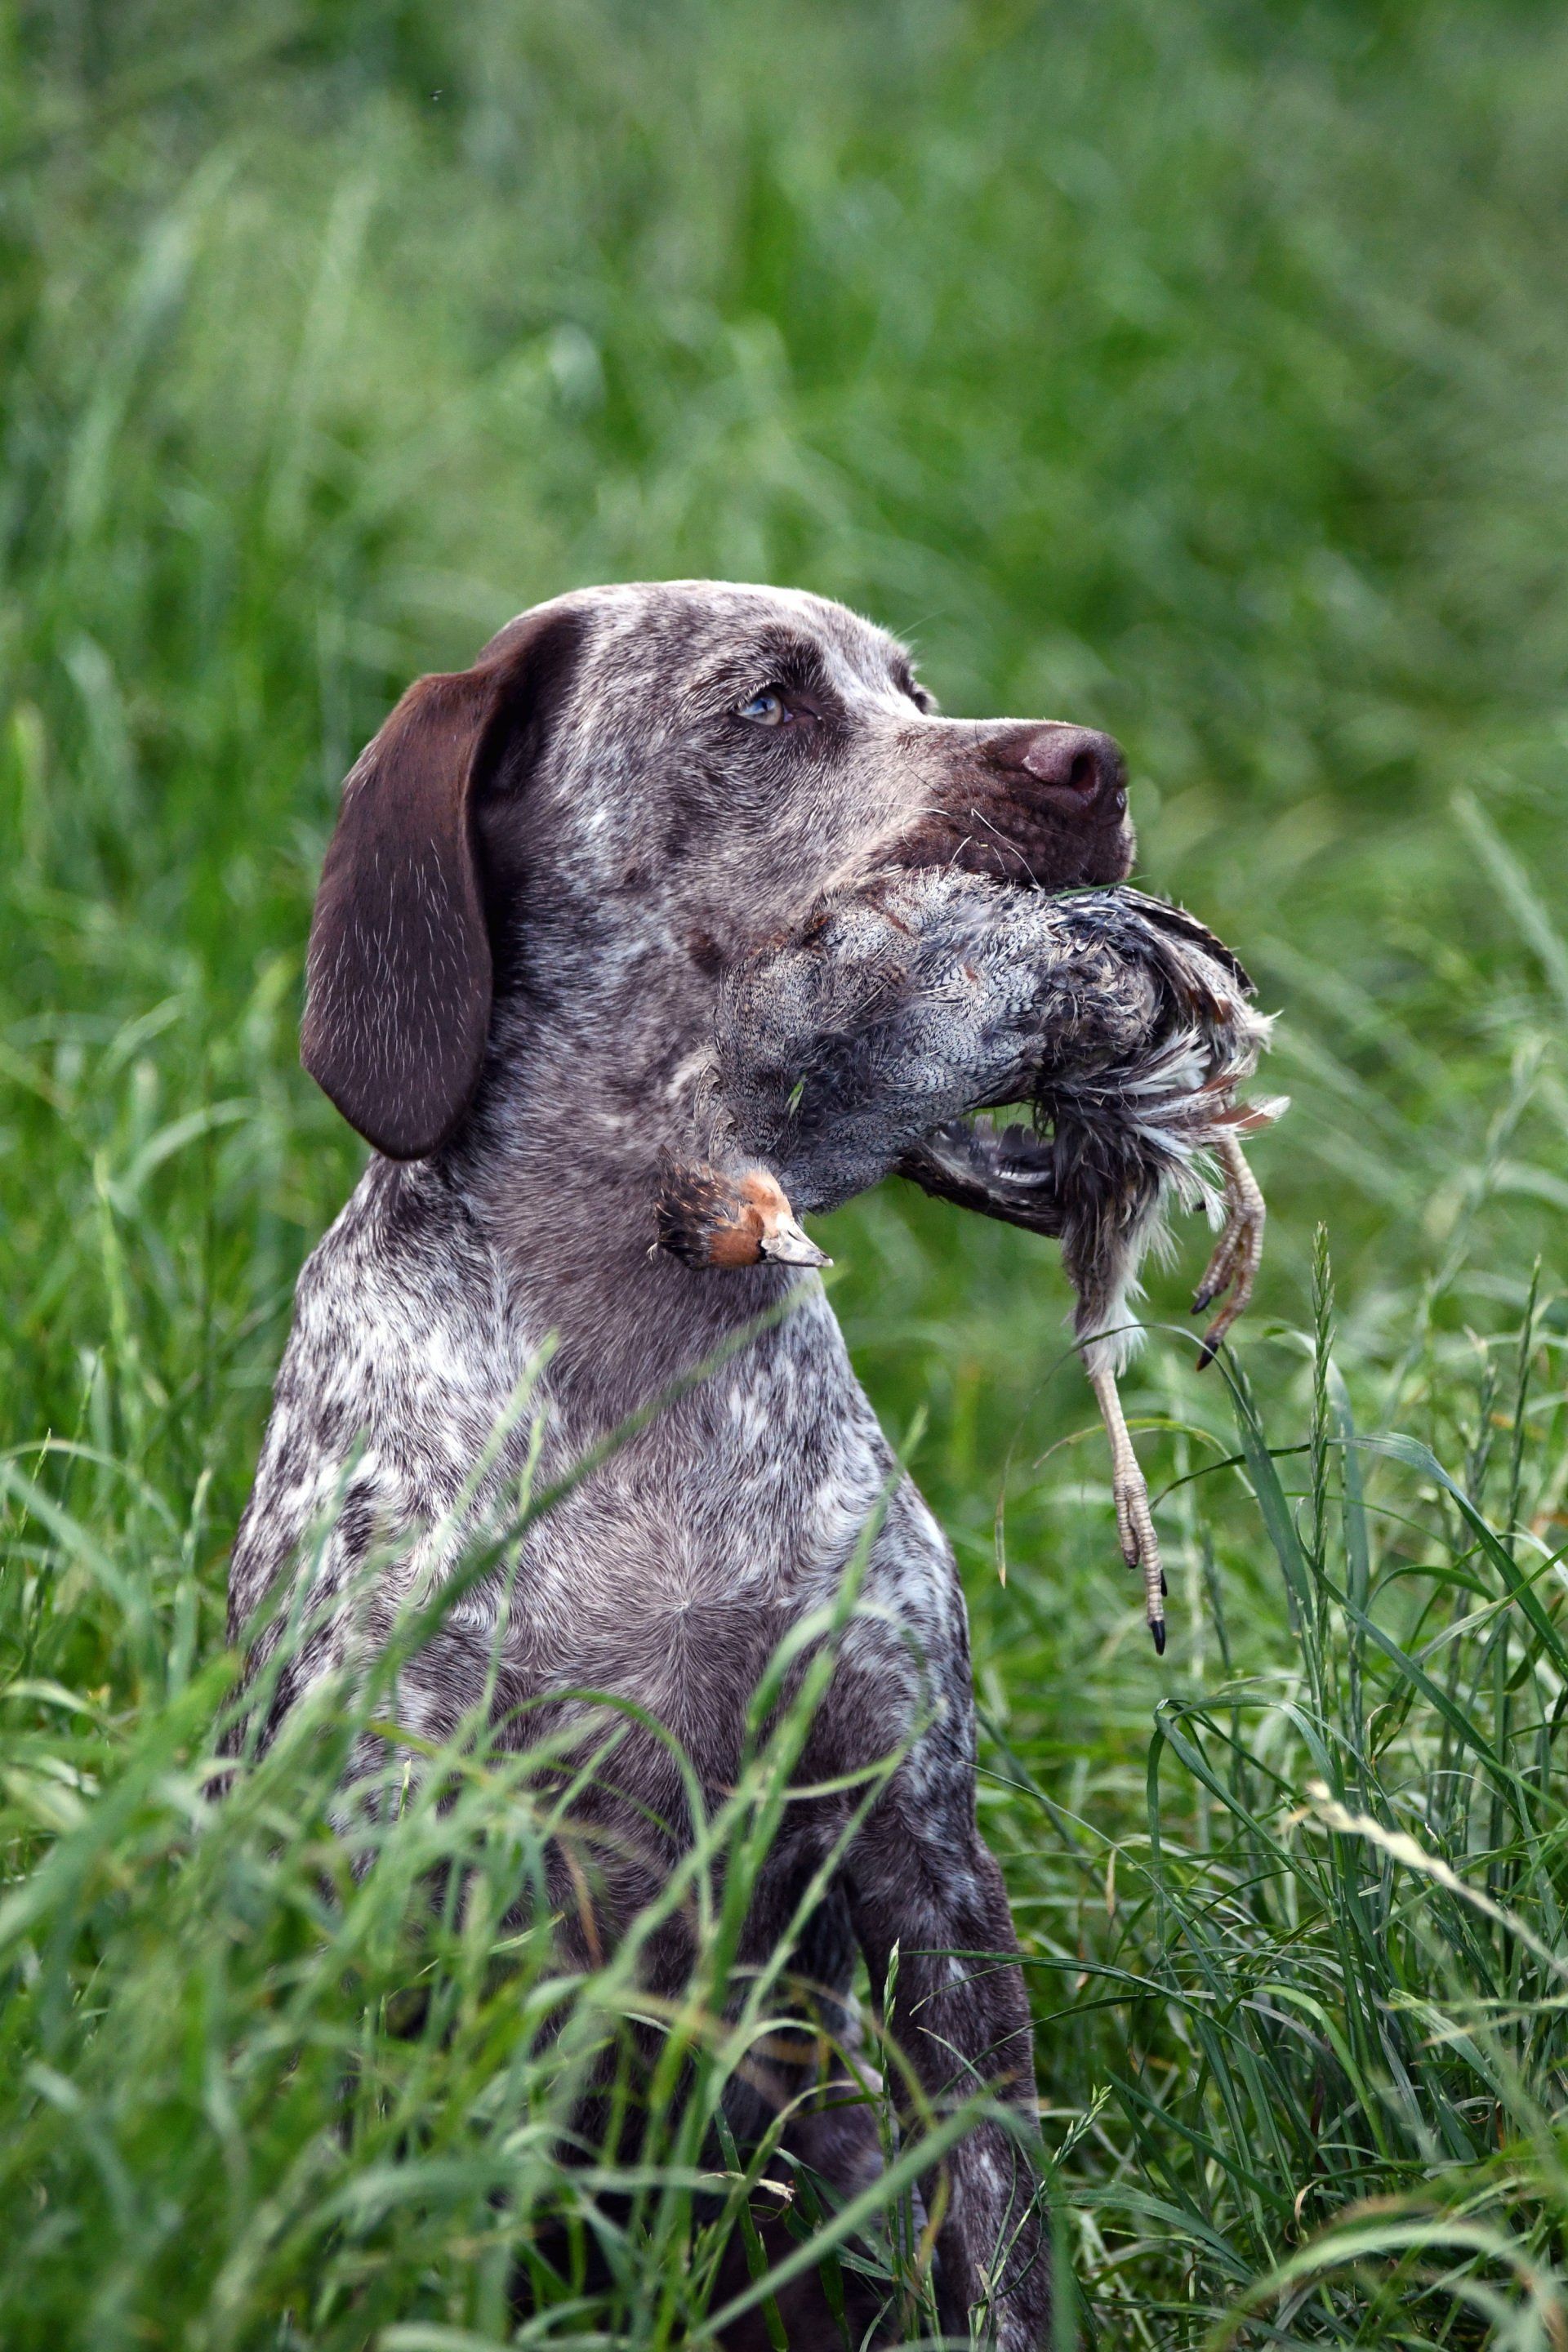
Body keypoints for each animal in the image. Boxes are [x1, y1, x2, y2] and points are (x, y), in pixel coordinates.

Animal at [230, 582, 1136, 2349]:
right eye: (766, 705)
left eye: (914, 690)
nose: (1094, 760)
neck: (640, 1369)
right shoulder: (415, 1874)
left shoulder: (923, 1861)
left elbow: (1000, 2235)